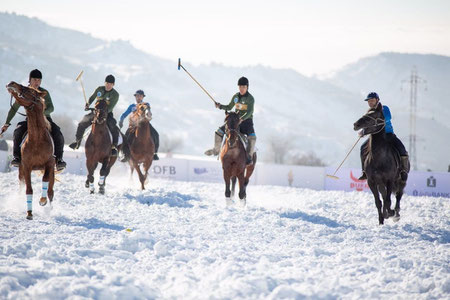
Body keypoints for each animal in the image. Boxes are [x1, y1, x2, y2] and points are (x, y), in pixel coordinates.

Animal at [5, 81, 55, 219]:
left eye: (31, 91)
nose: (11, 84)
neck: (37, 140)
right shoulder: (26, 166)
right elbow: (29, 189)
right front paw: (29, 213)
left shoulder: (49, 164)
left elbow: (45, 180)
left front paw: (42, 201)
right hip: (21, 170)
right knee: (22, 186)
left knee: (51, 191)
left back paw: (48, 209)